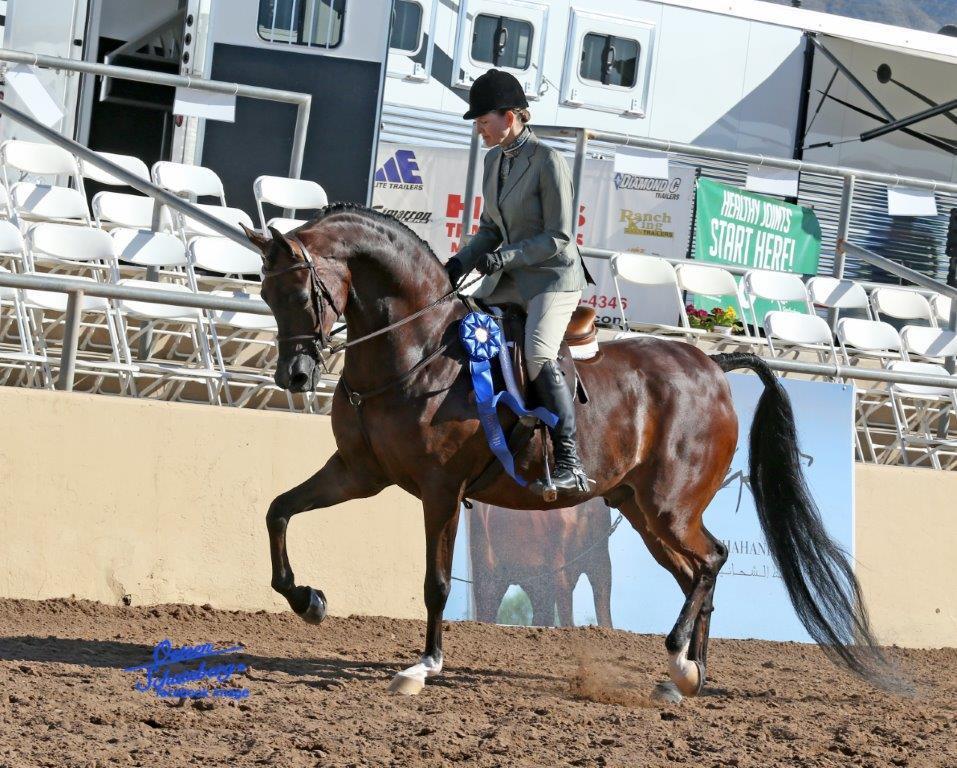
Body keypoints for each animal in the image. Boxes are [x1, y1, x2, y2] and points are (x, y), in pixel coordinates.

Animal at [469, 498, 613, 628]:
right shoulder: (560, 569)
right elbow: (567, 621)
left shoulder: (600, 563)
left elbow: (606, 621)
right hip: (488, 581)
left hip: (538, 586)